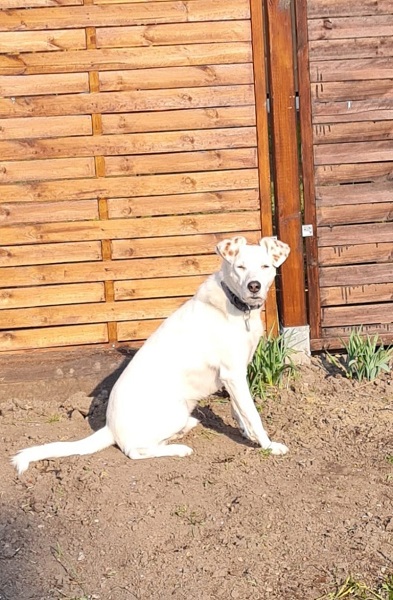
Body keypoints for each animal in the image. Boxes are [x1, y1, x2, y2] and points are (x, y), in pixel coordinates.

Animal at [12, 234, 290, 474]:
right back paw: (179, 448)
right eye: (240, 267)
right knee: (135, 451)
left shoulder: (234, 374)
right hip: (176, 409)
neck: (236, 307)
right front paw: (268, 445)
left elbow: (239, 410)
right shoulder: (233, 374)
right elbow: (253, 414)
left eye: (265, 266)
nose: (254, 286)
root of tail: (109, 427)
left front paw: (246, 433)